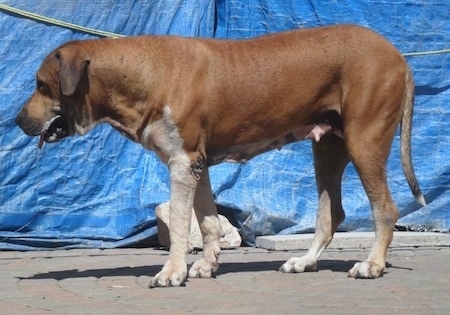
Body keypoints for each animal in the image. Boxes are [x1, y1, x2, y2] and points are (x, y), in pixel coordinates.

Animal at [15, 24, 424, 288]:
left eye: (41, 85)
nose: (17, 120)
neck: (143, 74)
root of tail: (398, 56)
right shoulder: (197, 163)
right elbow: (208, 221)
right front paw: (206, 266)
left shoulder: (181, 165)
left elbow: (181, 224)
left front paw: (172, 272)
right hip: (327, 147)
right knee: (331, 214)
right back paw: (305, 262)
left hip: (364, 141)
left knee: (385, 209)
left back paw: (371, 265)